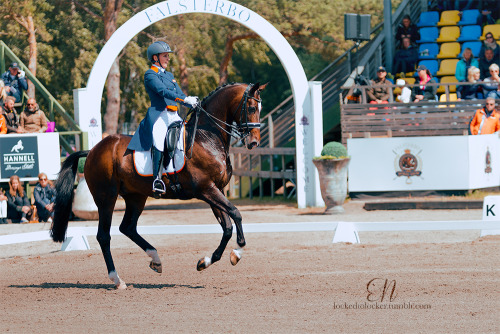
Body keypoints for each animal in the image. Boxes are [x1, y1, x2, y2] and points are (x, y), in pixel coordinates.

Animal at [50, 82, 268, 288]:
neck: (206, 138)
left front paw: (205, 261)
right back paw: (117, 280)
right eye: (250, 107)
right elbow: (236, 214)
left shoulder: (216, 190)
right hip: (106, 199)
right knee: (104, 236)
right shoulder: (206, 189)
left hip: (136, 197)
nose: (254, 142)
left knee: (128, 227)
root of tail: (93, 150)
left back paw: (155, 259)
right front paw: (237, 252)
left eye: (260, 107)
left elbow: (227, 226)